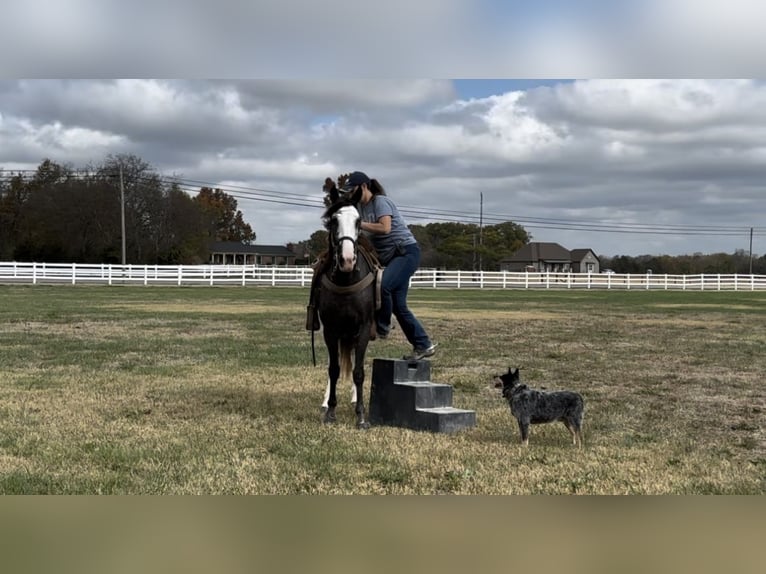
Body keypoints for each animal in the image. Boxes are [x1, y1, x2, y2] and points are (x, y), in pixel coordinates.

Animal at [316, 187, 380, 430]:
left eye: (358, 220)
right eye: (334, 220)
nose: (346, 260)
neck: (346, 280)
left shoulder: (363, 329)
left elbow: (358, 372)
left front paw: (361, 415)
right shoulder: (330, 330)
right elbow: (333, 369)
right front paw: (330, 411)